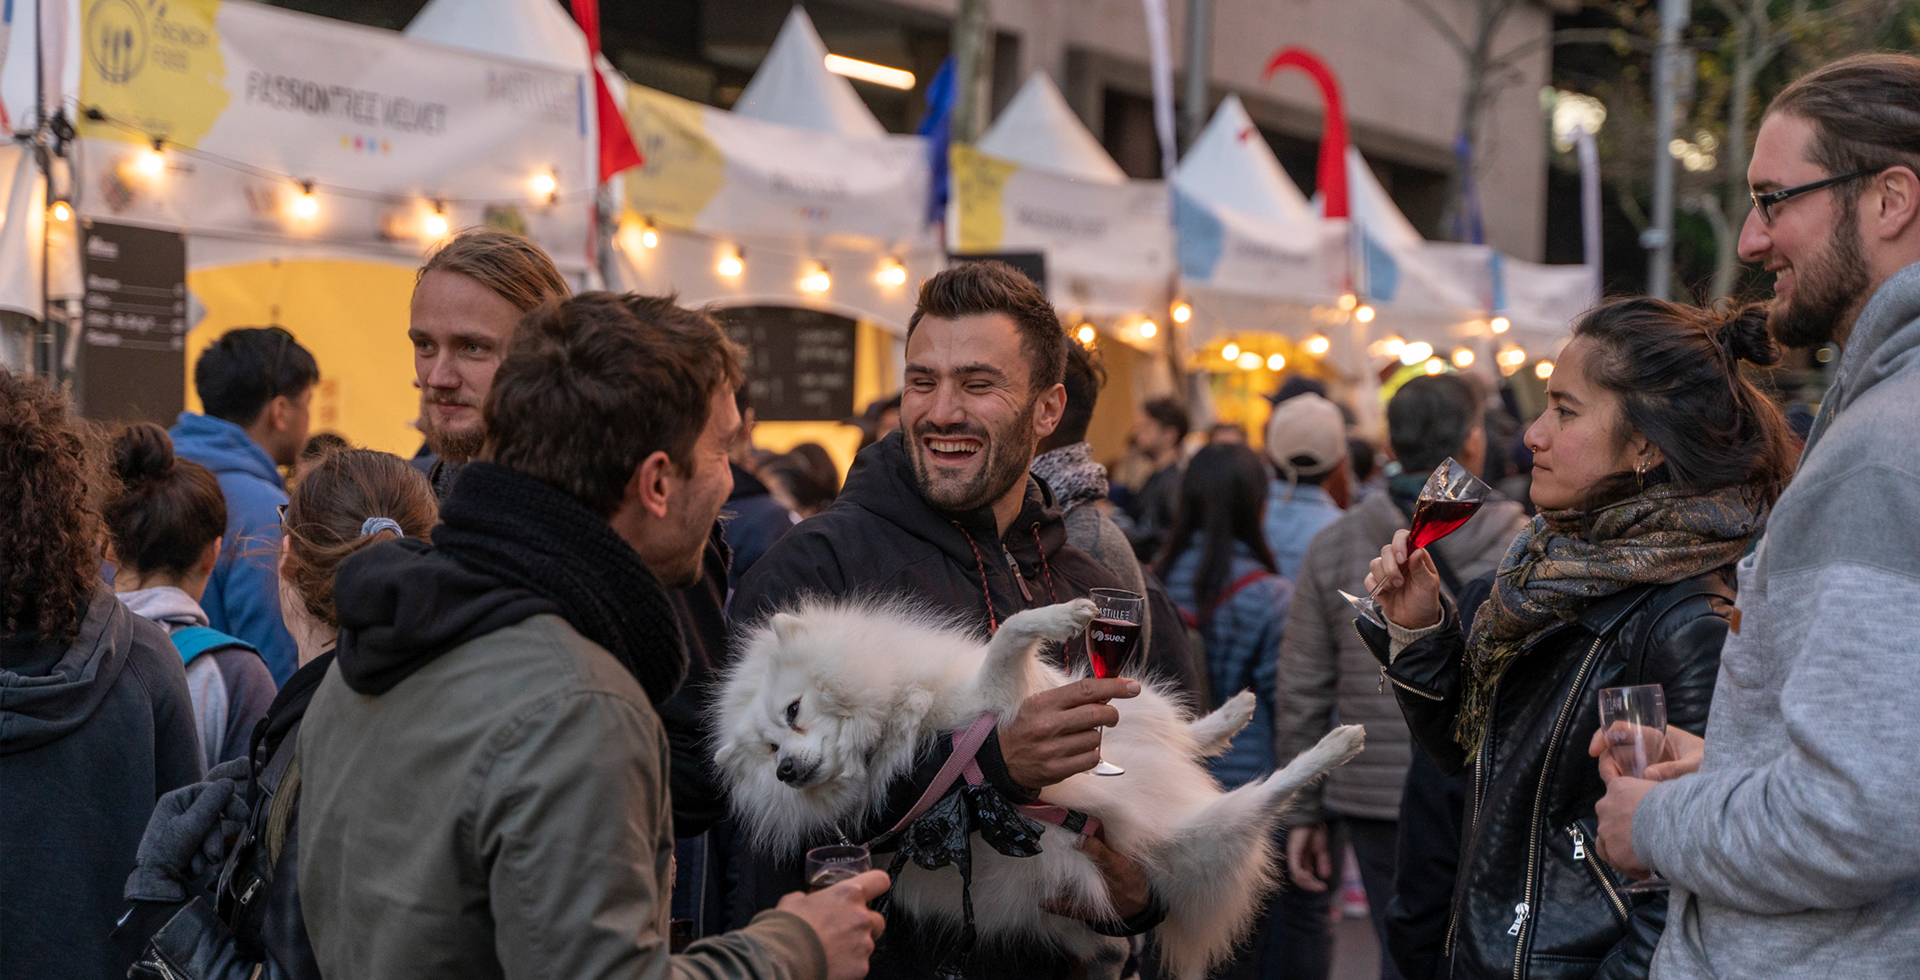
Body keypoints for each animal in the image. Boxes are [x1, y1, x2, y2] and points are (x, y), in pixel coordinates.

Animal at [718, 595, 1367, 980]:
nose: (785, 772)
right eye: (769, 751)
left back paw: (1230, 716)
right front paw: (1059, 616)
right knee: (1264, 798)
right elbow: (1008, 634)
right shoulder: (990, 703)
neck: (896, 716)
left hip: (1134, 717)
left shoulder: (1028, 695)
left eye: (793, 711)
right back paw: (1332, 748)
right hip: (1205, 837)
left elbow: (1015, 637)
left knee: (1167, 726)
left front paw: (1060, 617)